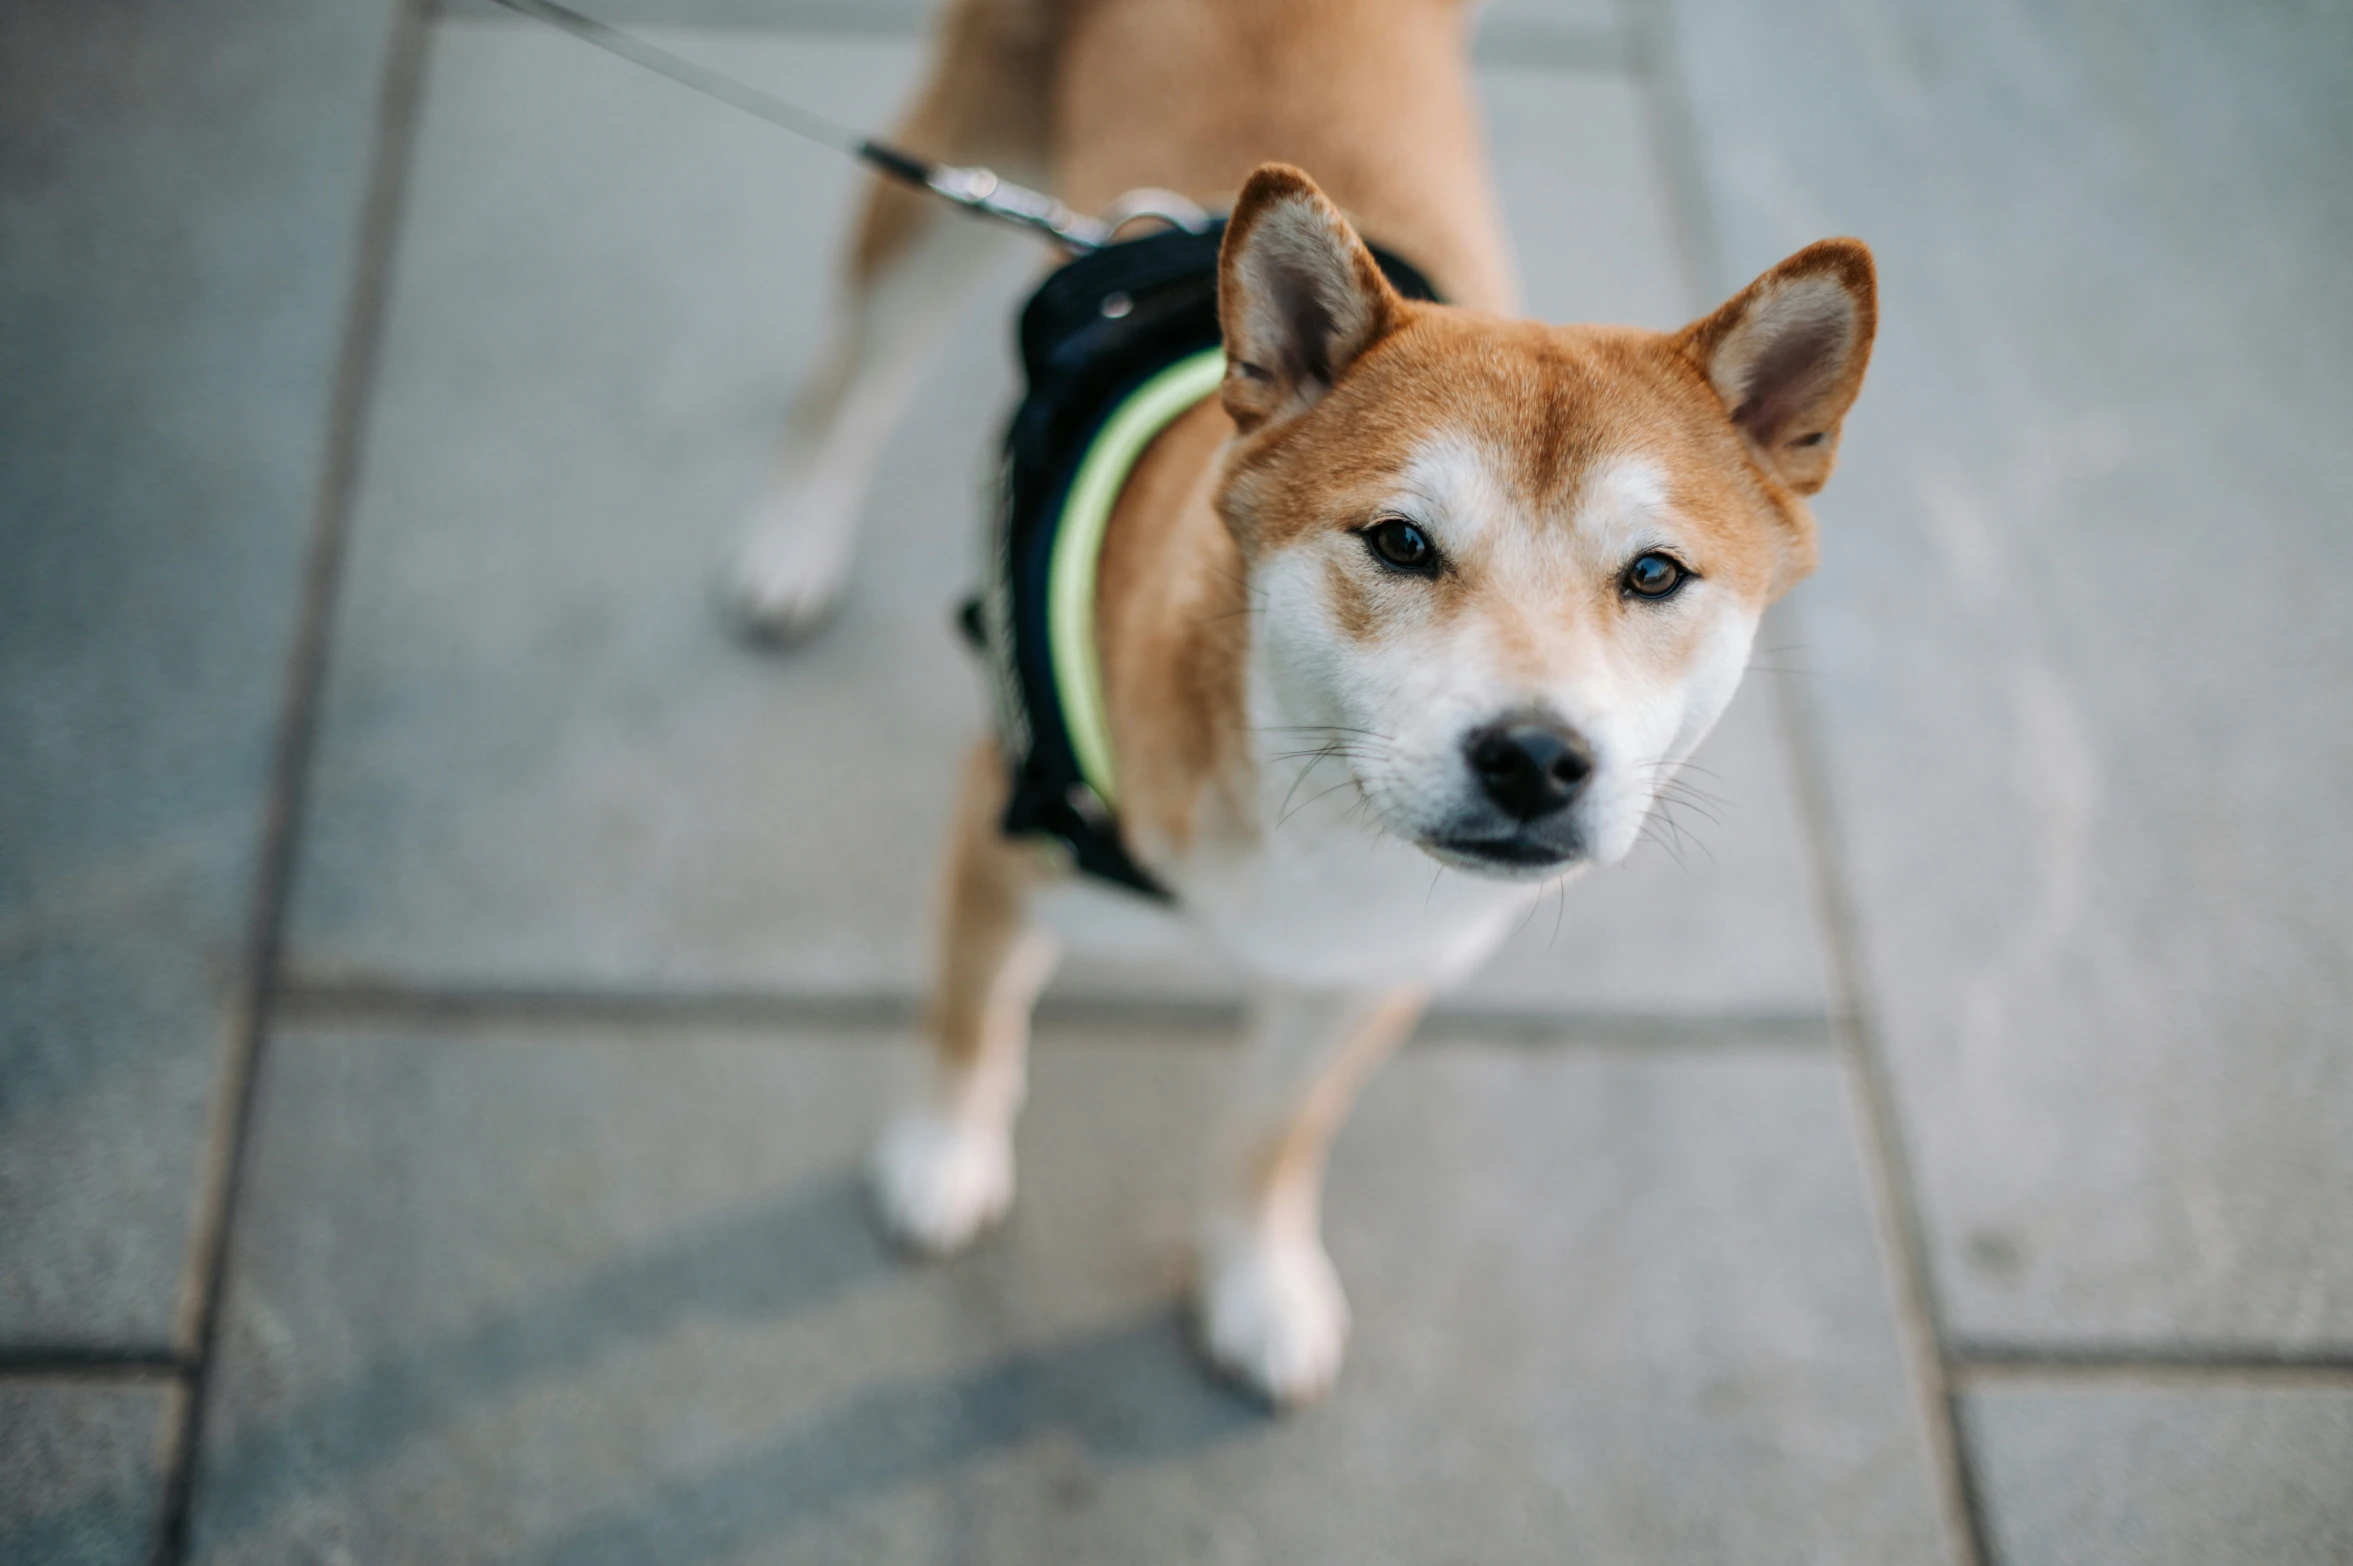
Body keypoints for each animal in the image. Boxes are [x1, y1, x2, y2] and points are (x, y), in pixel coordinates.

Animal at [720, 0, 1872, 1401]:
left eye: (1654, 574)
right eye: (1401, 543)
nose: (1536, 758)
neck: (1312, 822)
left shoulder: (1362, 984)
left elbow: (1272, 1140)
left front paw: (1255, 1283)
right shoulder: (1000, 837)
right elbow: (968, 1026)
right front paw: (941, 1156)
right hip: (948, 161)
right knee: (851, 368)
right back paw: (791, 538)